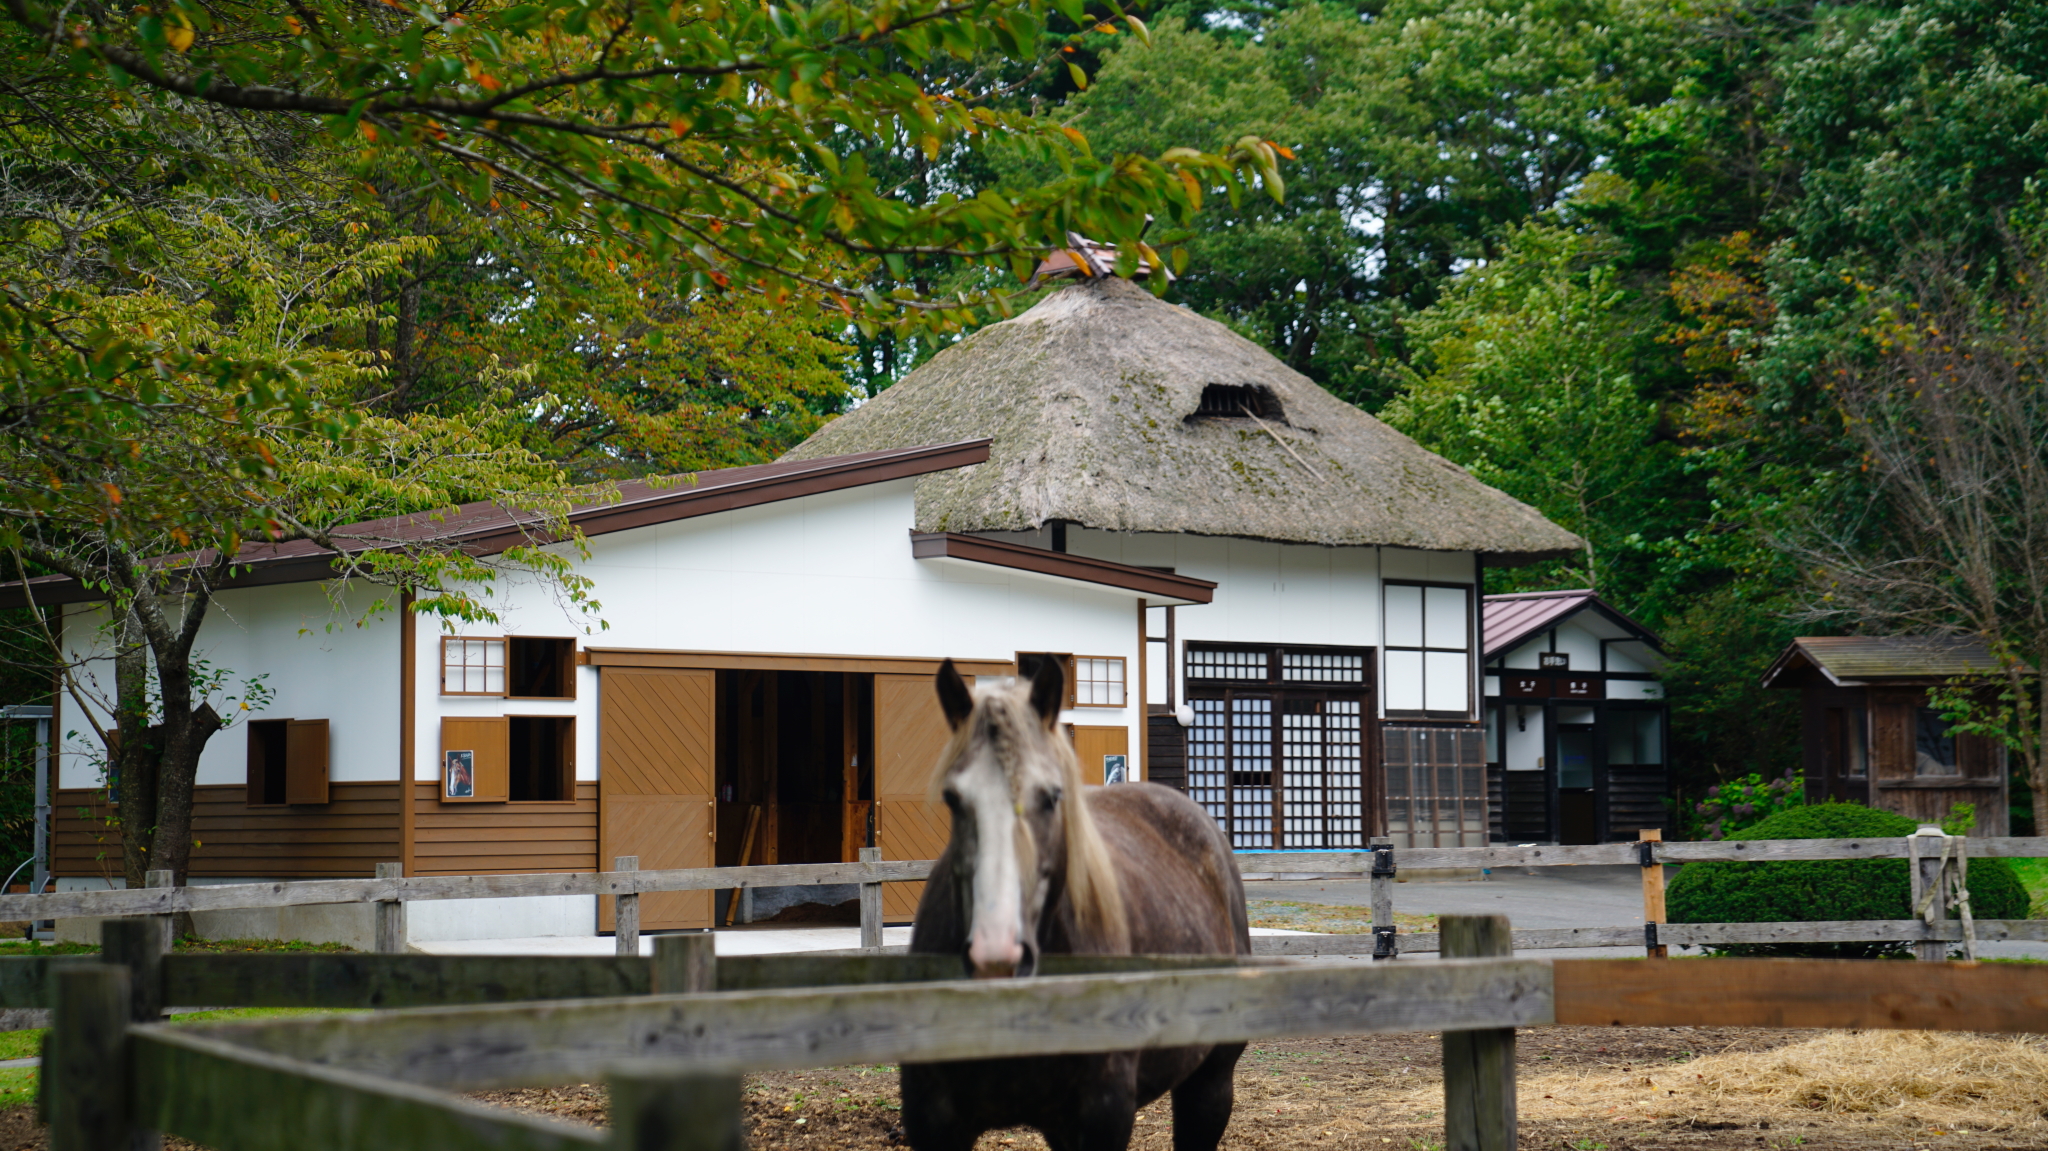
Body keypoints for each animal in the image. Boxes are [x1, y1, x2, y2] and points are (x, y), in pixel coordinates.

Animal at [909, 655, 1253, 1146]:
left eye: (1052, 796)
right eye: (953, 798)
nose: (997, 956)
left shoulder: (1101, 1118)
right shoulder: (935, 1124)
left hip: (1209, 1084)